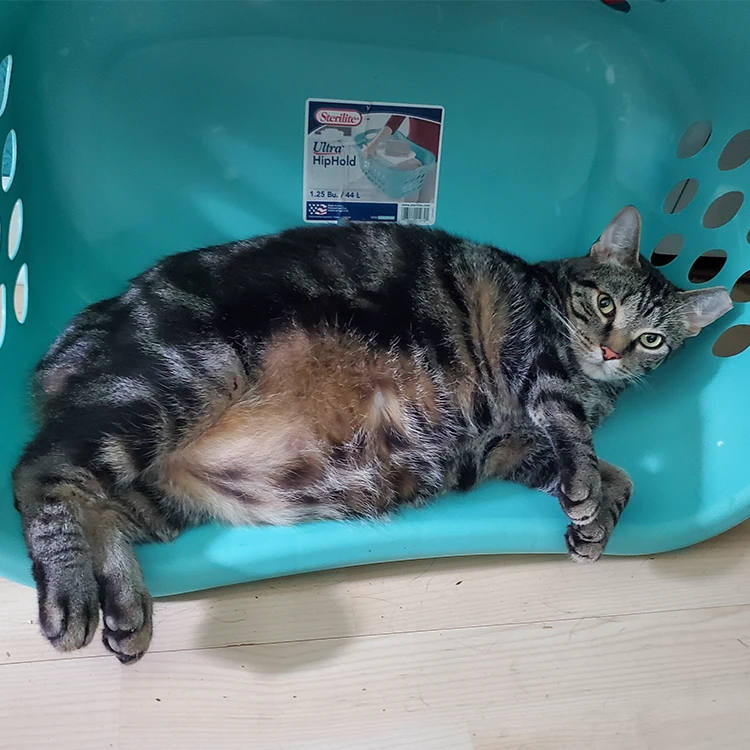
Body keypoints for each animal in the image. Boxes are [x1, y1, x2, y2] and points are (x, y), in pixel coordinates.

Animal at [11, 206, 736, 664]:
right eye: (604, 304)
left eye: (652, 339)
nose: (611, 350)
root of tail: (71, 341)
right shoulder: (536, 360)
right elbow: (574, 436)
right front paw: (587, 485)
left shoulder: (501, 448)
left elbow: (618, 473)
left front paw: (597, 518)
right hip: (177, 383)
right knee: (40, 474)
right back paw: (70, 596)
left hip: (162, 492)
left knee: (98, 505)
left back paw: (125, 606)